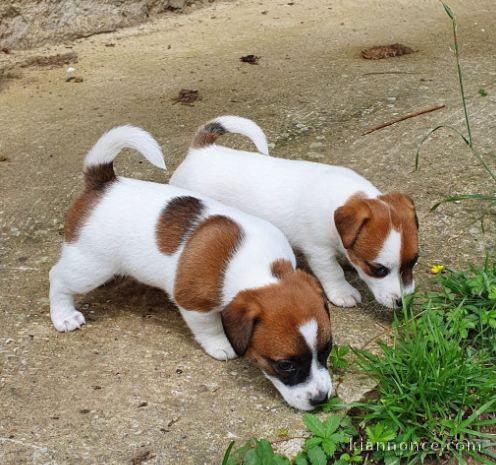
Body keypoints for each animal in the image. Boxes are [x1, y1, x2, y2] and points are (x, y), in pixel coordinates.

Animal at [48, 125, 334, 408]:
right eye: (285, 365)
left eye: (327, 349)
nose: (321, 399)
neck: (259, 268)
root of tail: (104, 183)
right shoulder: (193, 303)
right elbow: (209, 327)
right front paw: (220, 344)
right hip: (89, 267)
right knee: (58, 279)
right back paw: (64, 315)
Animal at [170, 116, 418, 308]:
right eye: (378, 269)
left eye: (413, 262)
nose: (403, 303)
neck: (345, 198)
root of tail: (200, 149)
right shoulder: (319, 251)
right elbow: (332, 271)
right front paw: (343, 292)